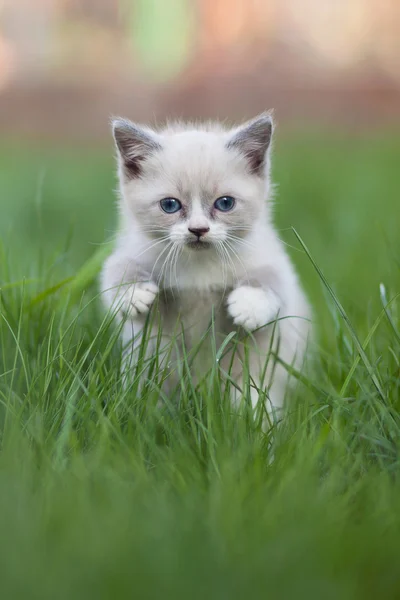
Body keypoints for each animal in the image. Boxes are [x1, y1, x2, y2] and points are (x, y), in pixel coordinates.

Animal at [101, 112, 312, 422]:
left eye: (224, 203)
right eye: (170, 205)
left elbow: (270, 281)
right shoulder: (135, 251)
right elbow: (116, 268)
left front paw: (248, 306)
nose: (198, 229)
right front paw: (133, 293)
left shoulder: (271, 260)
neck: (199, 266)